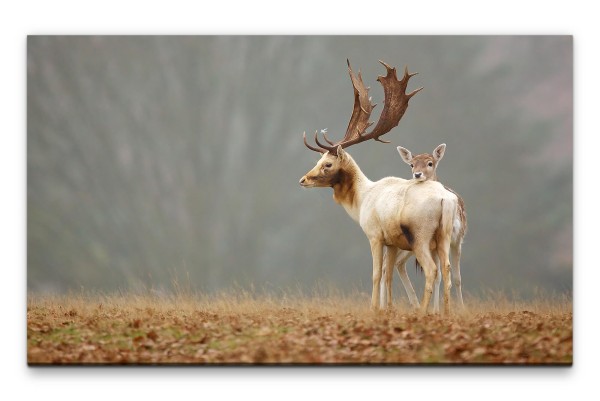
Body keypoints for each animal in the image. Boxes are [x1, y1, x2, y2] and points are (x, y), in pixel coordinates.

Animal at [298, 61, 458, 314]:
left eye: (327, 164)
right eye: (318, 160)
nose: (303, 180)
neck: (362, 200)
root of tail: (446, 199)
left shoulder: (374, 235)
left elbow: (375, 274)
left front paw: (374, 308)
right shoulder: (392, 241)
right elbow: (387, 275)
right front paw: (388, 308)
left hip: (421, 235)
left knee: (432, 270)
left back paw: (422, 311)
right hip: (444, 235)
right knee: (447, 270)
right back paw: (446, 312)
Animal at [394, 144, 468, 310]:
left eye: (430, 163)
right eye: (412, 164)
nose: (417, 174)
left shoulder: (457, 239)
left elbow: (457, 277)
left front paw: (460, 309)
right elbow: (439, 276)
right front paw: (435, 310)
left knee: (396, 263)